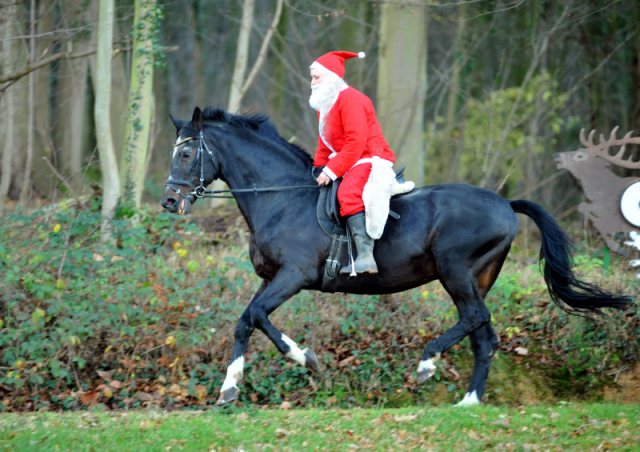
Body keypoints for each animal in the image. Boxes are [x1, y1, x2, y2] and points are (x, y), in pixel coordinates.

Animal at [160, 108, 632, 406]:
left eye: (186, 152)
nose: (169, 200)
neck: (281, 198)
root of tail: (504, 203)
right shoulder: (270, 278)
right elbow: (247, 321)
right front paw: (230, 388)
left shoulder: (293, 275)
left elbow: (254, 316)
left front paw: (303, 359)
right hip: (475, 277)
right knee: (483, 336)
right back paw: (468, 401)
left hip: (455, 270)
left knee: (475, 320)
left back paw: (427, 363)